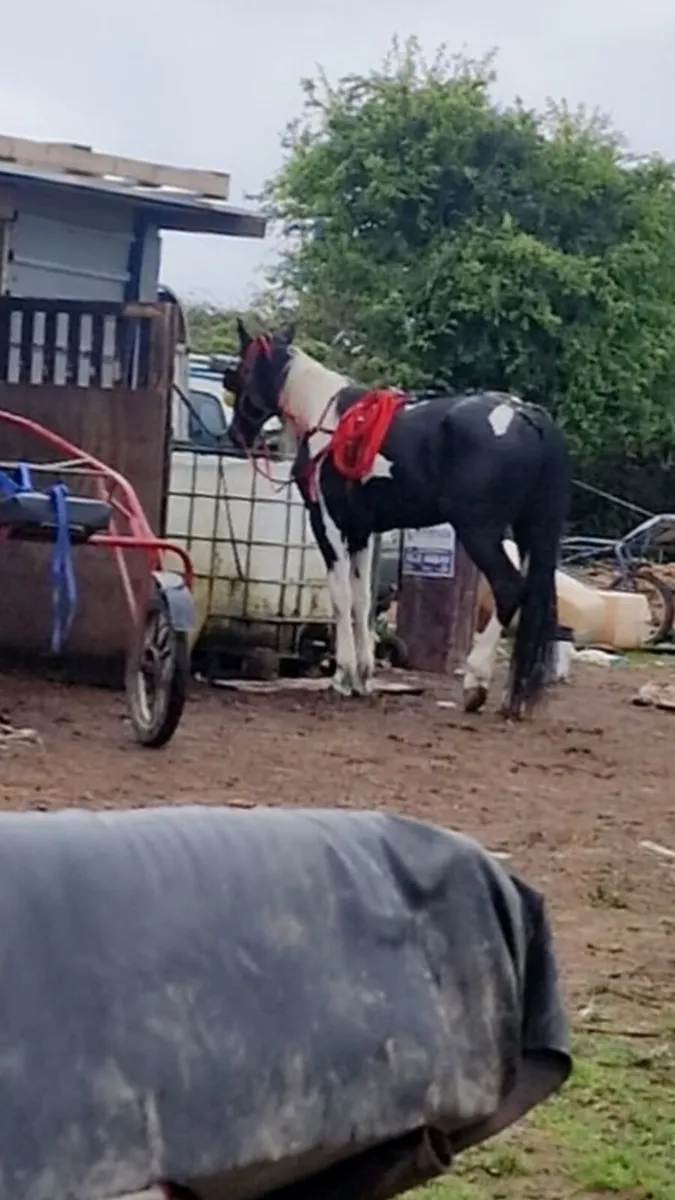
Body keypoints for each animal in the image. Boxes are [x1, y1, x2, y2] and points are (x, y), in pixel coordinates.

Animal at [225, 321, 571, 718]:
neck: (328, 423)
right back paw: (513, 699)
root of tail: (525, 413)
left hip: (479, 531)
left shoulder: (328, 526)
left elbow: (341, 597)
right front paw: (363, 676)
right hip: (532, 532)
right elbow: (362, 599)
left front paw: (342, 675)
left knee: (509, 589)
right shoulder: (360, 532)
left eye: (239, 370)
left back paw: (475, 684)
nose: (235, 435)